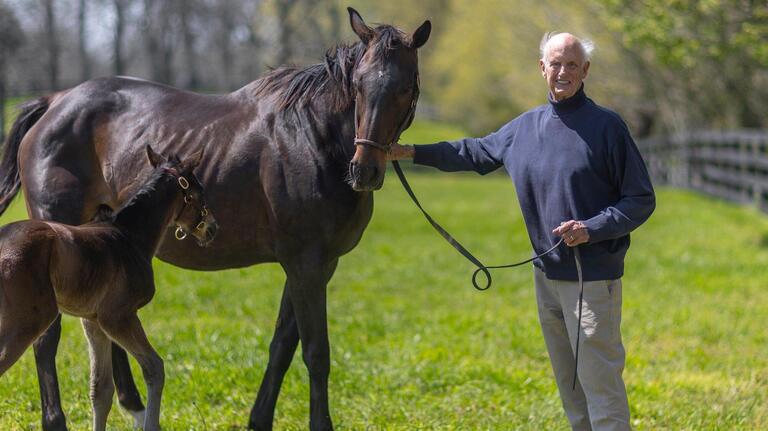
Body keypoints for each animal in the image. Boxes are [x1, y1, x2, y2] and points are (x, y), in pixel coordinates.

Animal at [0, 145, 217, 431]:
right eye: (199, 191)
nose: (212, 228)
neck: (129, 236)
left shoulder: (92, 321)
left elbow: (101, 389)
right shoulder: (117, 316)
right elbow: (154, 367)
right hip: (28, 320)